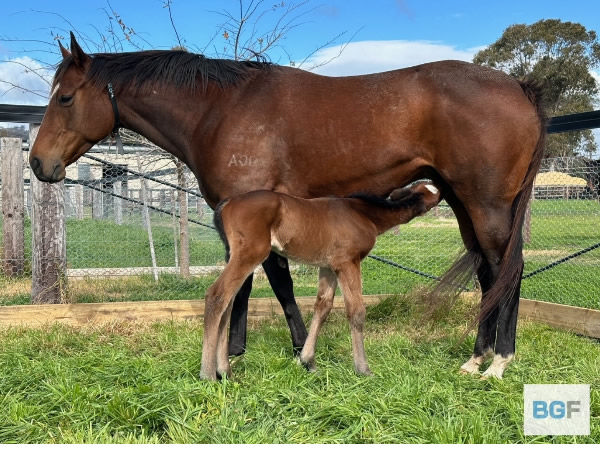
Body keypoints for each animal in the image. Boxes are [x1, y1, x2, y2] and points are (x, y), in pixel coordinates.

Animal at [202, 183, 440, 380]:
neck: (364, 213)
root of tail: (227, 203)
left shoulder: (328, 266)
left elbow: (323, 306)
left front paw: (308, 361)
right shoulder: (347, 262)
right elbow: (356, 311)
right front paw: (363, 369)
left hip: (236, 255)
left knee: (227, 303)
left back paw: (225, 371)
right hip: (251, 253)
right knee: (217, 294)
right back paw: (208, 374)